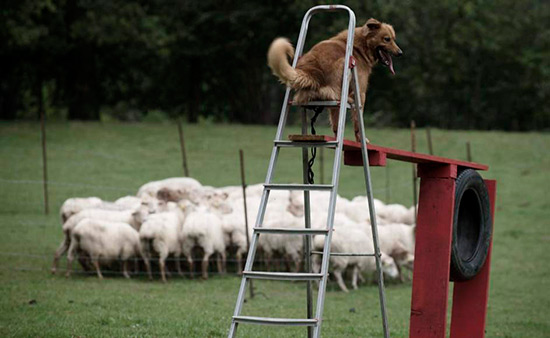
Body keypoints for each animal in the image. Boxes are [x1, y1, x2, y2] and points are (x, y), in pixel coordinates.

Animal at [268, 18, 404, 140]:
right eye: (387, 39)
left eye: (394, 39)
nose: (400, 53)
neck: (360, 47)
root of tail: (311, 71)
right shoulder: (361, 92)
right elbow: (357, 123)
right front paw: (361, 139)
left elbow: (335, 125)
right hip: (343, 64)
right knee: (336, 95)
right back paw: (348, 99)